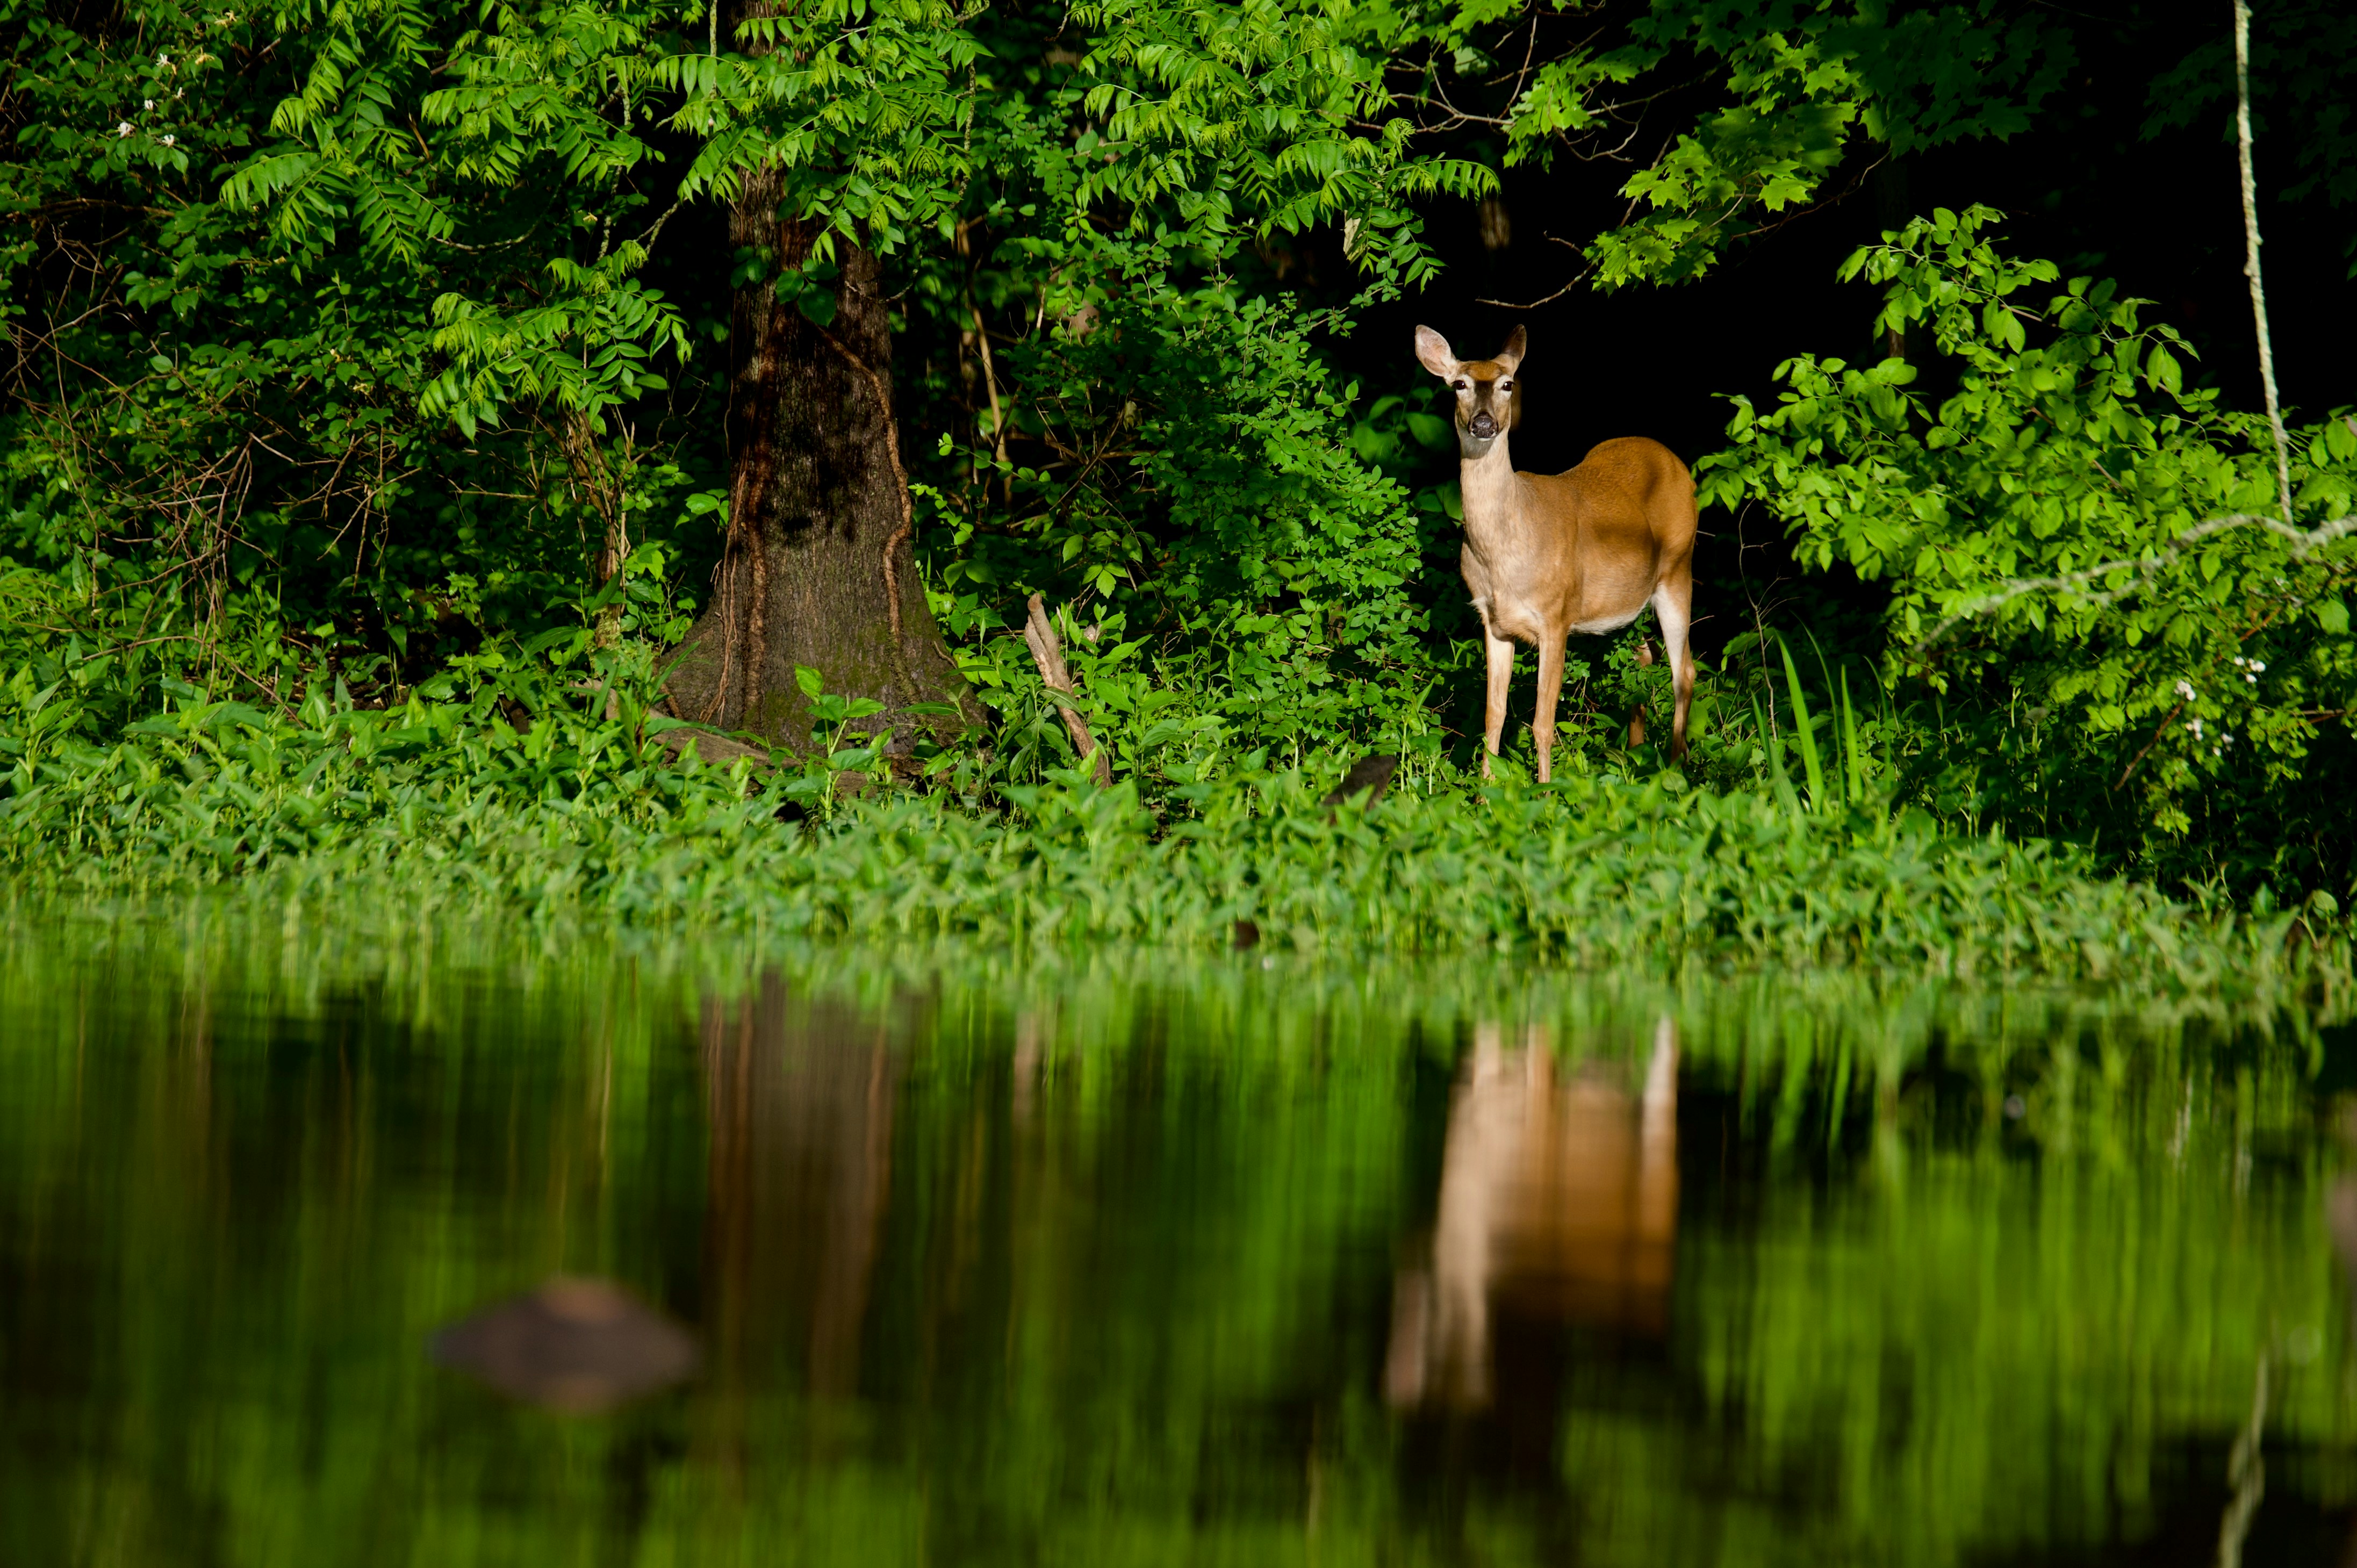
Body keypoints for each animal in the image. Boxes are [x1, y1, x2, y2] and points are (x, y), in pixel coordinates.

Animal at [1414, 324, 1698, 780]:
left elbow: (1542, 723)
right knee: (1644, 657)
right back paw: (1637, 757)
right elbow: (1493, 715)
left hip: (1678, 569)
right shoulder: (1493, 620)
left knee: (1684, 672)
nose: (1483, 423)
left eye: (1507, 384)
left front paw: (1544, 790)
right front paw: (1485, 788)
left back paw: (1674, 771)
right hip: (1629, 600)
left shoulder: (1556, 616)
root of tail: (1677, 464)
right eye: (1459, 384)